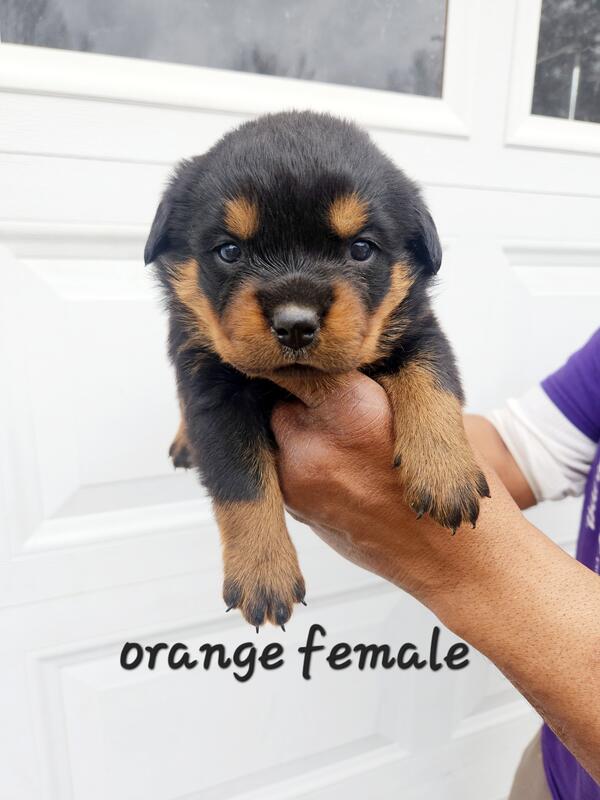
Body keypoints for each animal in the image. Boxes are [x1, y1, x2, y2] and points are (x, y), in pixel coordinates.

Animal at [144, 111, 489, 630]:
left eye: (361, 249)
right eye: (229, 251)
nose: (295, 324)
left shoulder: (420, 330)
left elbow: (433, 381)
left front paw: (444, 471)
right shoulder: (210, 384)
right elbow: (239, 479)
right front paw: (263, 573)